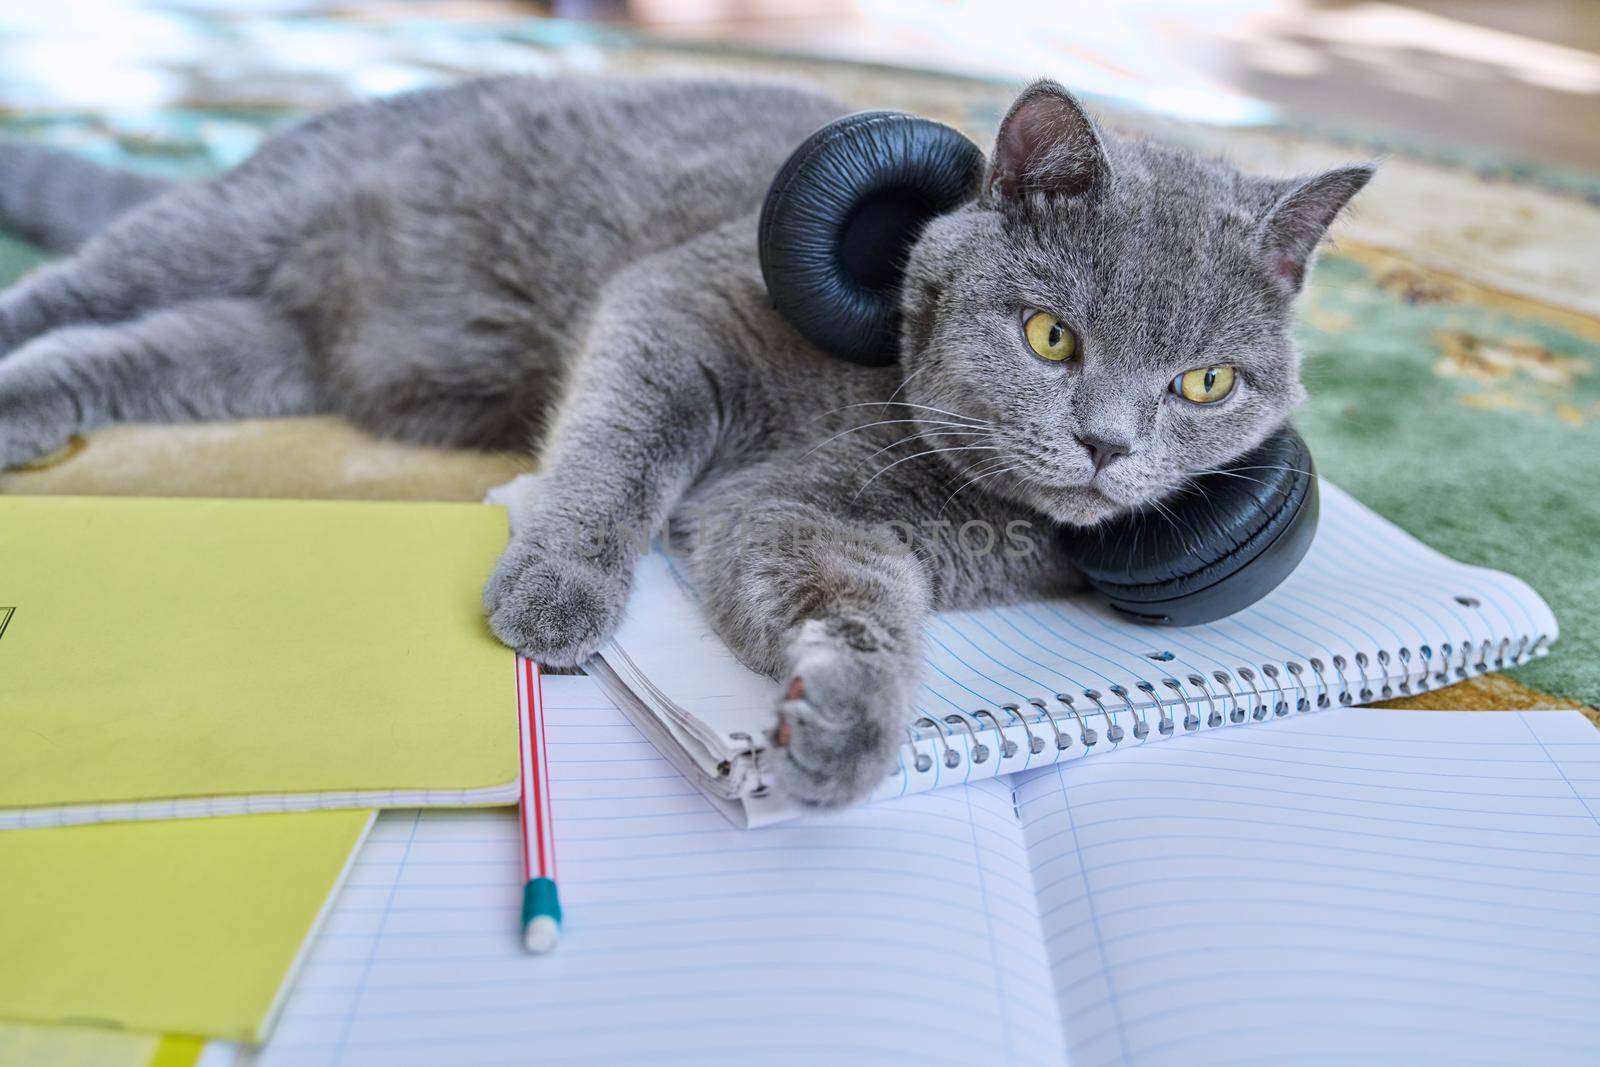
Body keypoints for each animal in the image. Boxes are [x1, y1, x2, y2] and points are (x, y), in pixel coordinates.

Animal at [3, 77, 1376, 809]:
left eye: (1204, 382)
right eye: (1050, 337)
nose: (1102, 445)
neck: (894, 410)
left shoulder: (804, 517)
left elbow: (843, 590)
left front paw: (841, 724)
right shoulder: (681, 307)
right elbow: (616, 449)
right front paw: (557, 590)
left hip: (259, 349)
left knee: (122, 354)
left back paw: (37, 409)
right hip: (237, 219)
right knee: (70, 287)